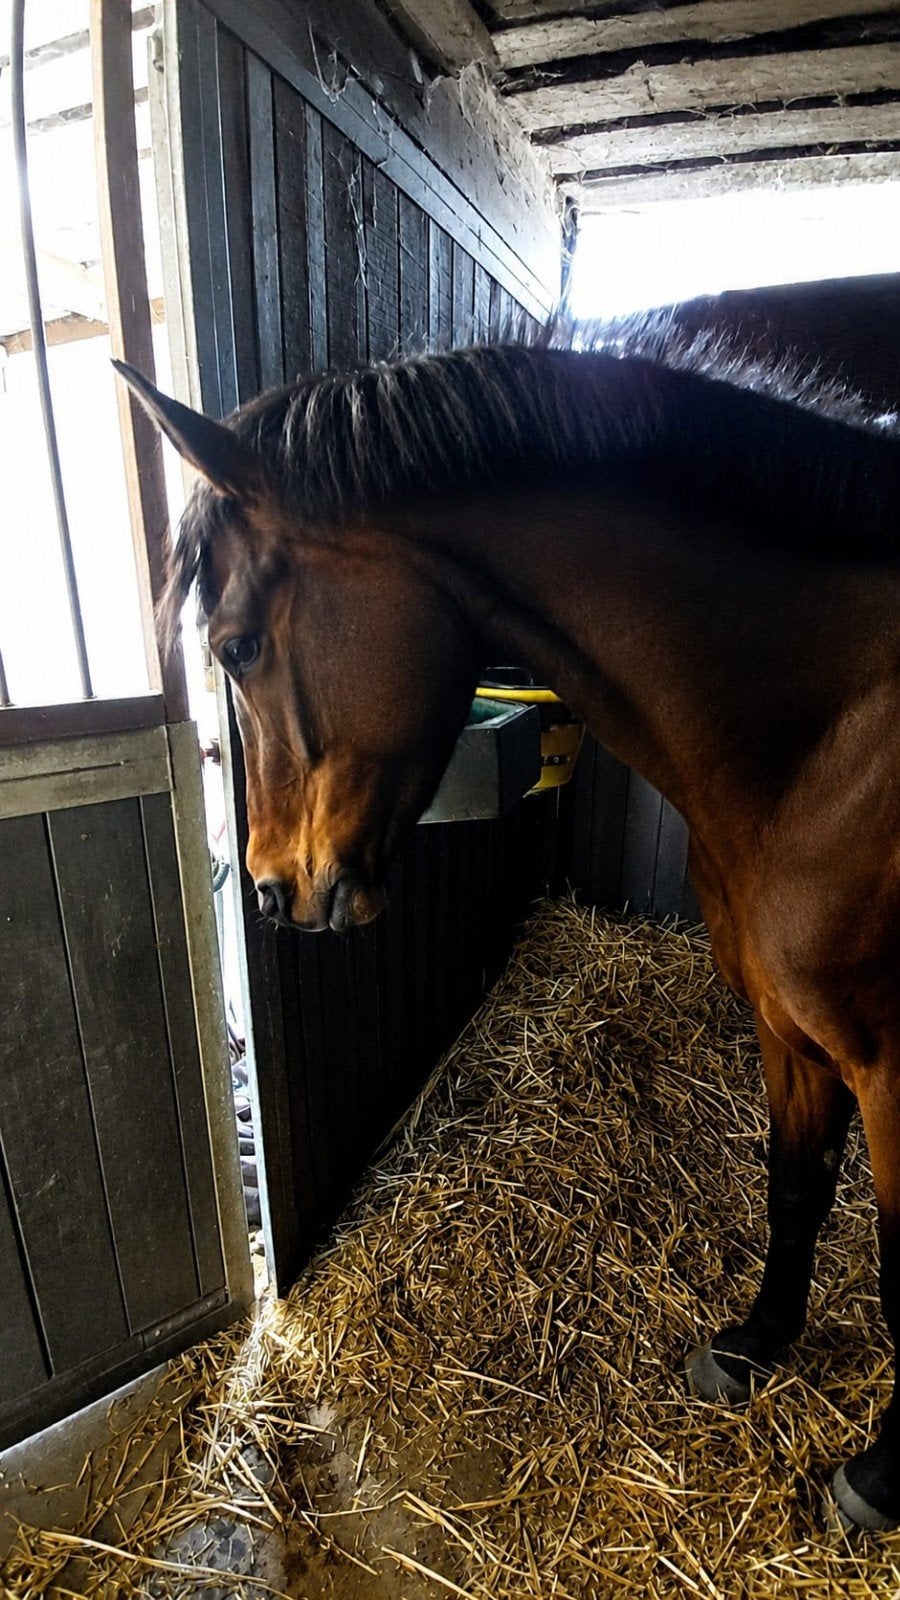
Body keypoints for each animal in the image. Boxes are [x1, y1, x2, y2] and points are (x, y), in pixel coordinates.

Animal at [116, 324, 900, 1532]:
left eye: (237, 647)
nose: (271, 892)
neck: (828, 736)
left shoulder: (895, 1067)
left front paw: (879, 1476)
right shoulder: (791, 1028)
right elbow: (796, 1185)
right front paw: (755, 1345)